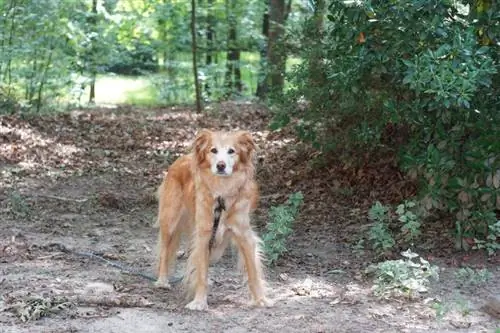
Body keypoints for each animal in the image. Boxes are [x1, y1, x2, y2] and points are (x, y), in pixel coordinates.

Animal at [156, 129, 272, 308]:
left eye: (232, 151)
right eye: (213, 150)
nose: (221, 165)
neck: (222, 193)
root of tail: (181, 159)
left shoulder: (244, 236)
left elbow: (253, 272)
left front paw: (260, 299)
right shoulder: (204, 235)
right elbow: (201, 272)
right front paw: (199, 301)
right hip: (170, 220)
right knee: (164, 251)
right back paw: (162, 280)